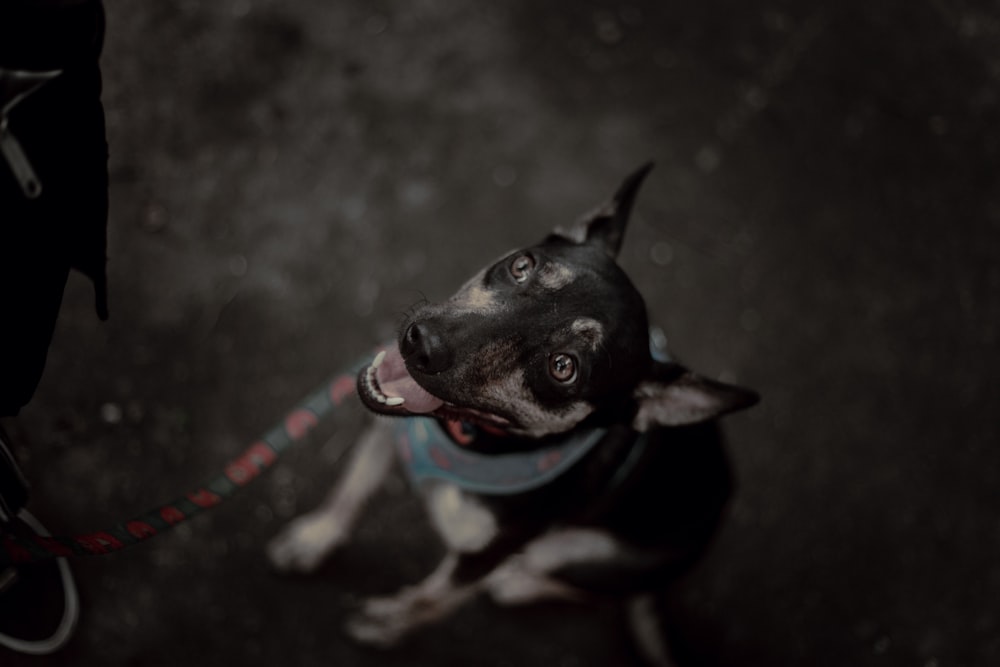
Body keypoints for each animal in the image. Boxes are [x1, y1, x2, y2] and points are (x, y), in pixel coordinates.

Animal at [266, 164, 756, 664]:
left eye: (563, 367)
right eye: (521, 266)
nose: (419, 343)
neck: (471, 435)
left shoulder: (482, 558)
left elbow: (431, 599)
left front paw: (386, 626)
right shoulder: (386, 434)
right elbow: (350, 491)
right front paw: (314, 539)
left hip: (591, 555)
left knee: (584, 590)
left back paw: (516, 582)